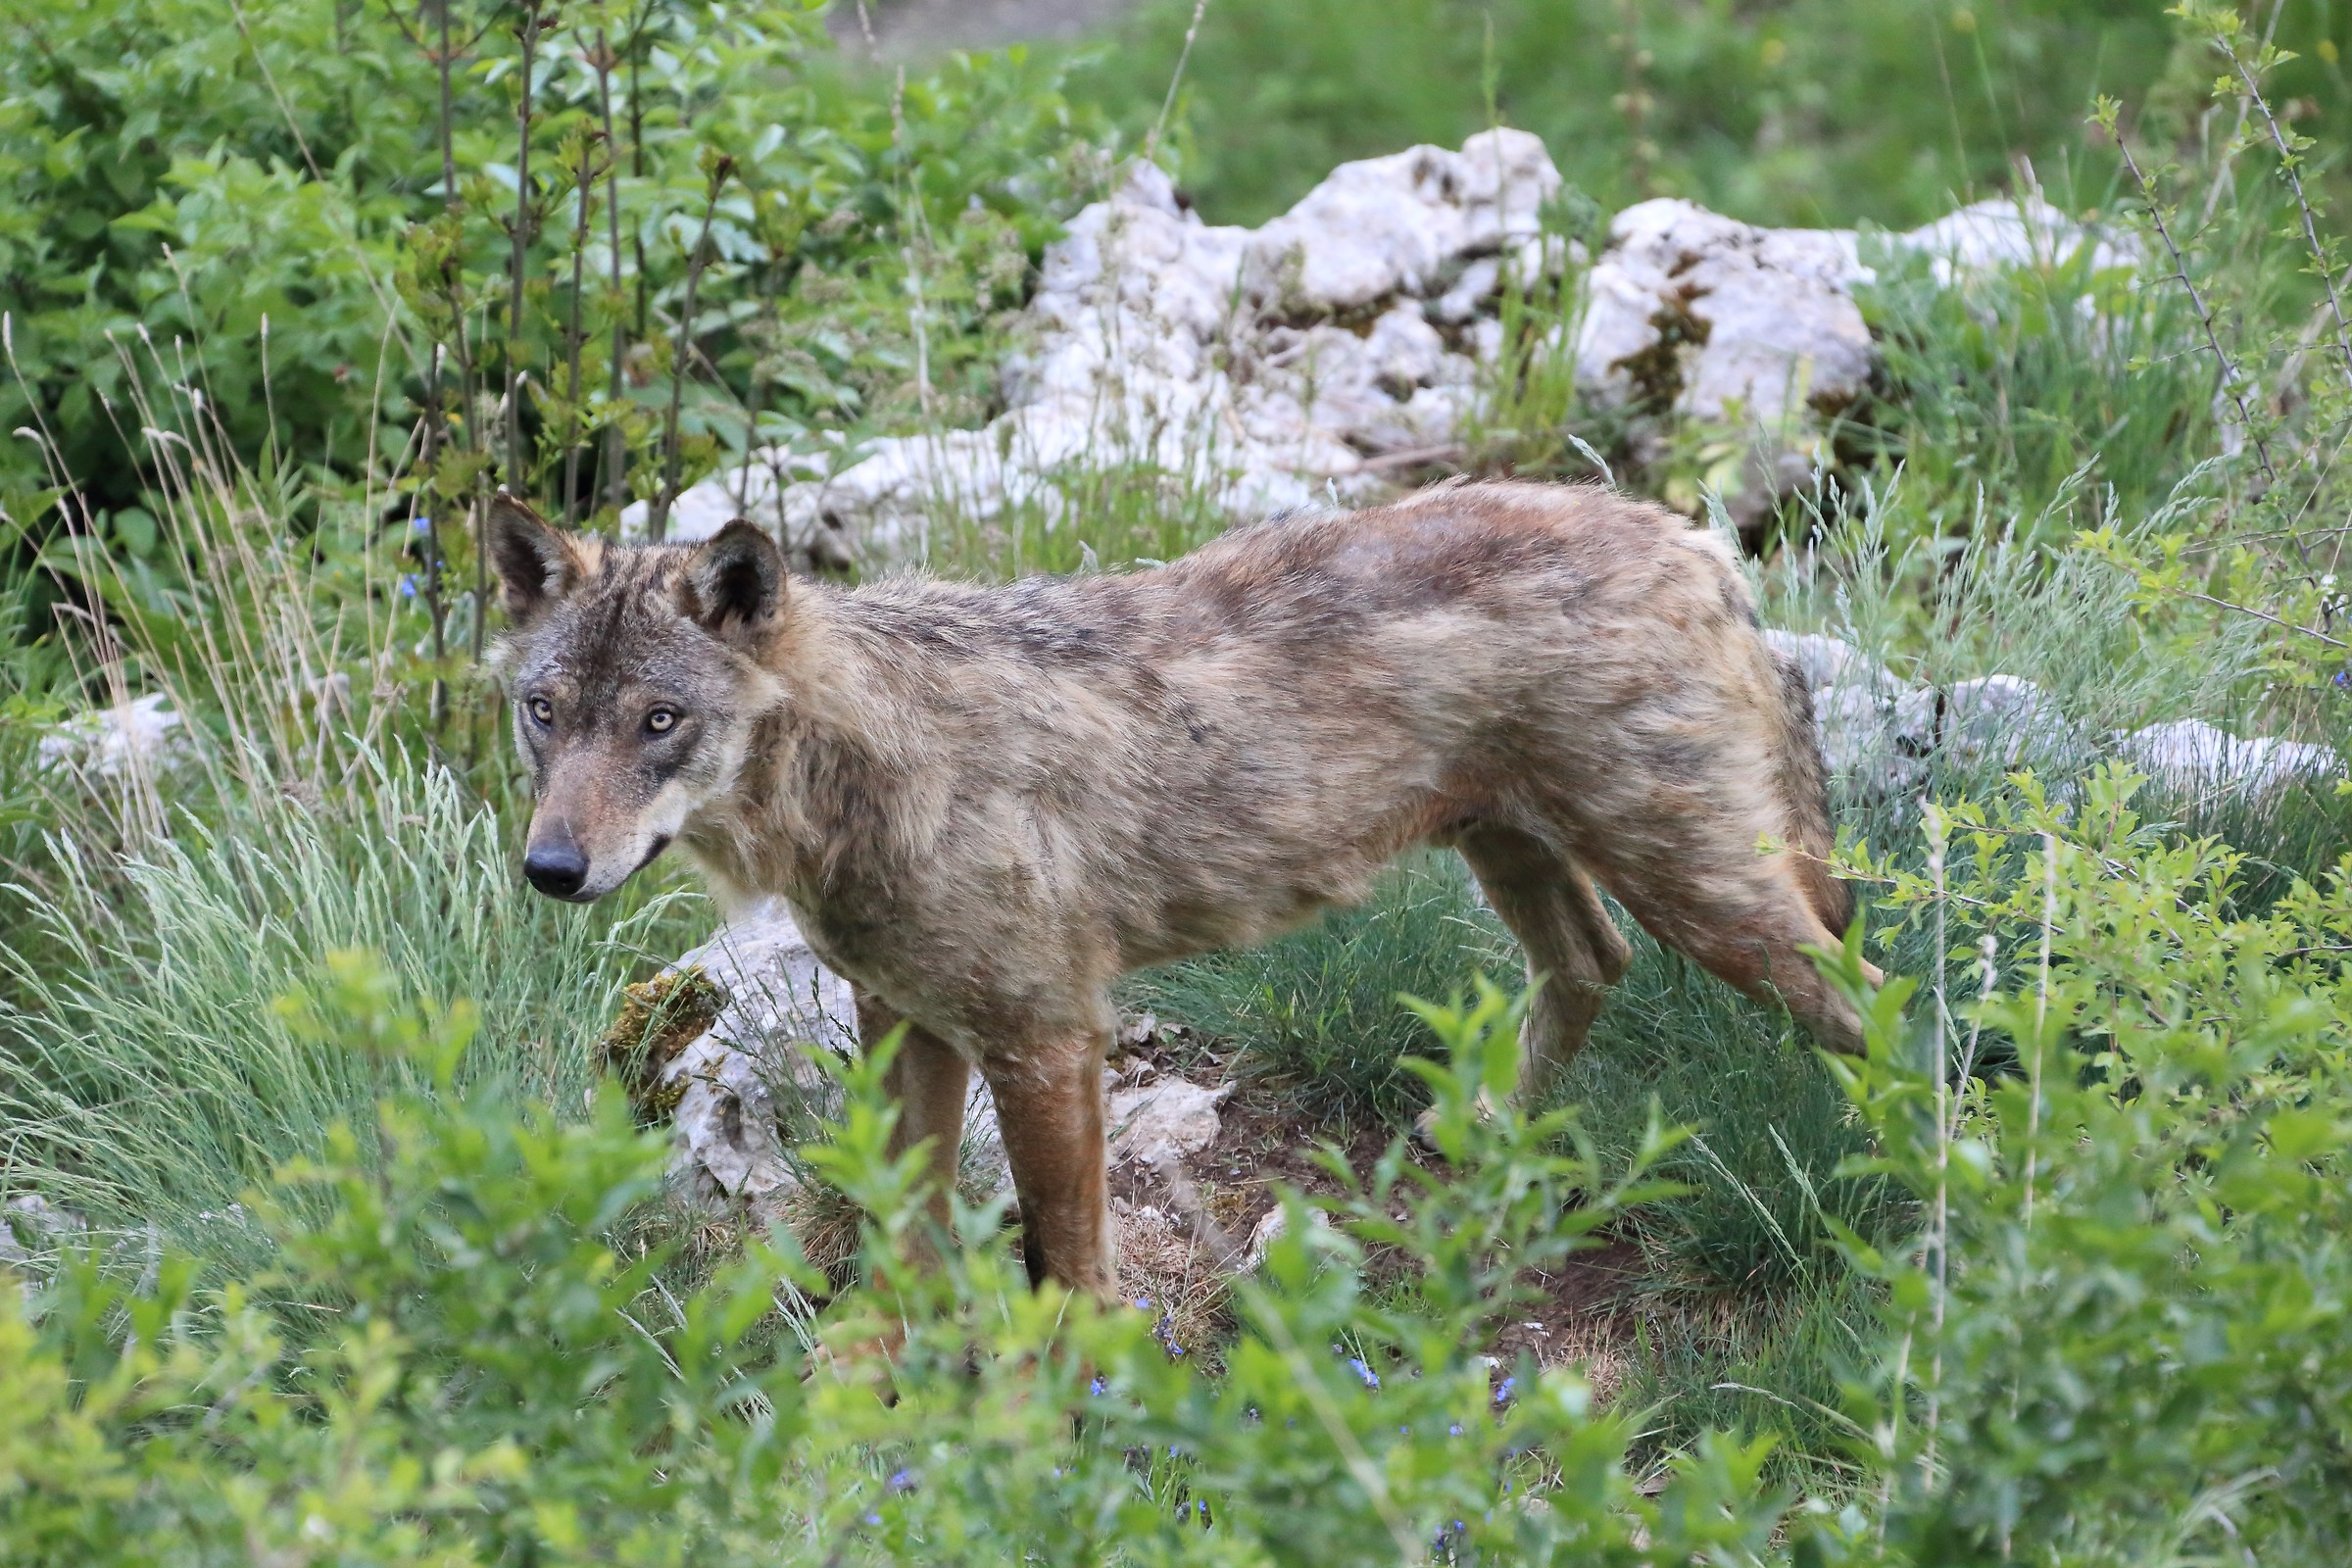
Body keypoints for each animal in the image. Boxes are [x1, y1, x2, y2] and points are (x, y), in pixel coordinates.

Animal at [487, 479, 1874, 1299]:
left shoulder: (1048, 1036)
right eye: (544, 712)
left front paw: (1062, 1418)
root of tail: (1693, 540)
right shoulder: (905, 1026)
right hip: (1523, 852)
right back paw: (1483, 1151)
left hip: (1703, 894)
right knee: (1593, 964)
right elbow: (903, 1248)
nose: (551, 870)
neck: (874, 760)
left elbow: (1066, 1265)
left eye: (660, 720)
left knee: (1871, 1001)